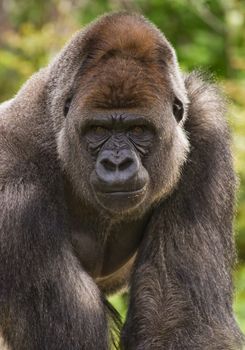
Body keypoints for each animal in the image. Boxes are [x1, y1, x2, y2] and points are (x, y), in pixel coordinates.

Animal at [0, 10, 243, 350]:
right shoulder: (13, 192)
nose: (117, 163)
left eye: (138, 129)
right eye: (98, 130)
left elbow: (185, 322)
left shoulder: (205, 127)